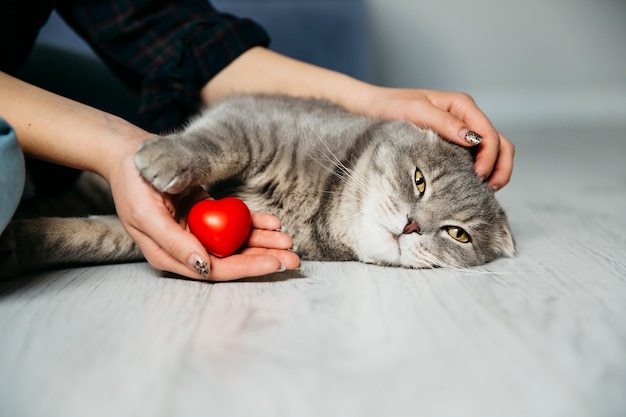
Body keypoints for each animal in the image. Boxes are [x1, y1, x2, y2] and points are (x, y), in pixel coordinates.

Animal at [0, 94, 512, 276]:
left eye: (458, 234)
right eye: (419, 181)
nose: (411, 226)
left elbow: (93, 235)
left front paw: (20, 244)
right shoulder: (250, 119)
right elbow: (218, 143)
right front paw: (165, 156)